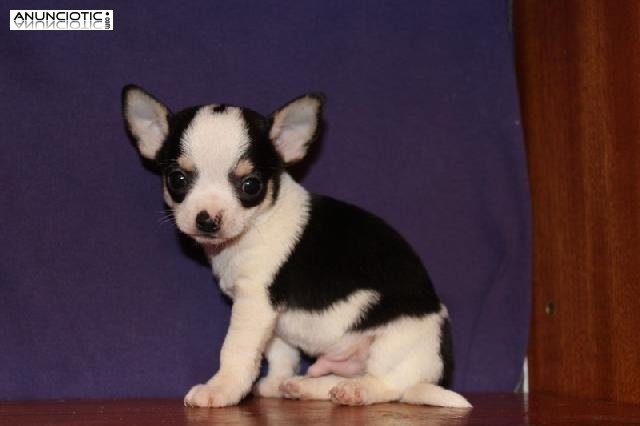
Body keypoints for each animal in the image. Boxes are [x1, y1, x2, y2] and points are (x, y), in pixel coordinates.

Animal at [122, 85, 470, 408]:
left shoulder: (255, 303)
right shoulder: (273, 319)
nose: (207, 219)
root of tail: (436, 371)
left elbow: (236, 350)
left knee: (391, 386)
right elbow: (280, 355)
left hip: (396, 343)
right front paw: (276, 382)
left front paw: (222, 389)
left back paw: (358, 391)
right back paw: (306, 386)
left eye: (251, 185)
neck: (255, 226)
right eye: (177, 179)